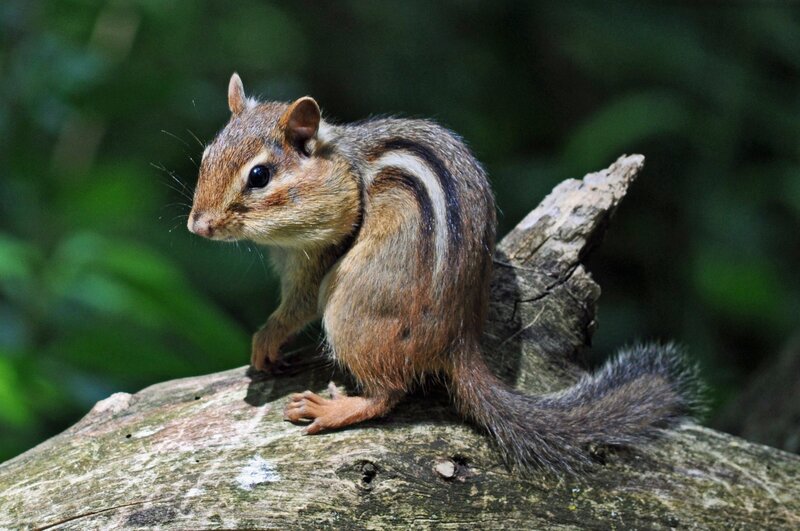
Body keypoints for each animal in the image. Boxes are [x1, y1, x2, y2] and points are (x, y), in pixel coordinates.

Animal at [187, 73, 701, 472]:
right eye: (207, 156)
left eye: (259, 177)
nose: (197, 225)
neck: (343, 166)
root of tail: (458, 341)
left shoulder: (322, 254)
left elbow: (297, 307)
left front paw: (267, 337)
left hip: (350, 309)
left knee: (387, 394)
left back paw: (334, 408)